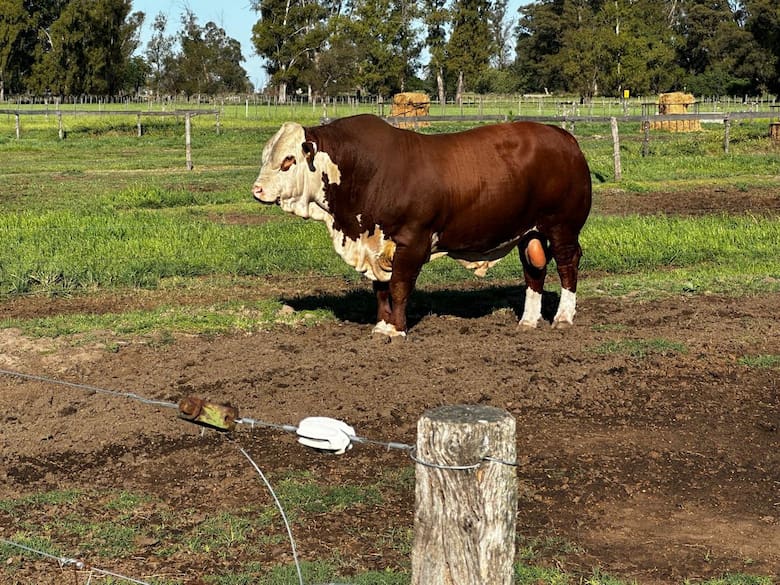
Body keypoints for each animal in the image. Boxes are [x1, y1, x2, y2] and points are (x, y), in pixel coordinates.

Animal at [252, 114, 592, 338]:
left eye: (288, 160)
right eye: (265, 157)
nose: (257, 190)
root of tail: (564, 138)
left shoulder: (412, 241)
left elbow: (400, 287)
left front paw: (397, 330)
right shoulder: (377, 245)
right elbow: (381, 289)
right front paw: (382, 326)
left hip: (562, 227)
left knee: (567, 265)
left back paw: (563, 317)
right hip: (529, 232)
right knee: (534, 268)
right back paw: (528, 320)